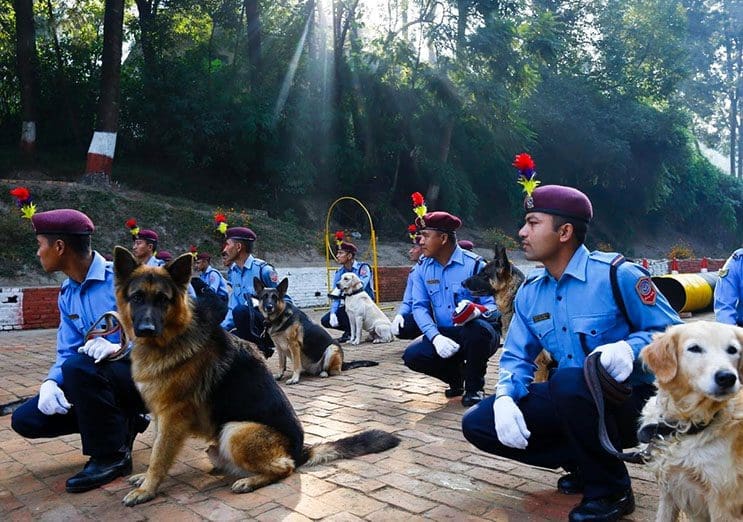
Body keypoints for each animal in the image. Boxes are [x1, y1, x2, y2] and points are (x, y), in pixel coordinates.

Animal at [112, 247, 402, 504]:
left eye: (163, 299)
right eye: (137, 298)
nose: (146, 329)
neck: (172, 339)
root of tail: (300, 451)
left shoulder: (172, 416)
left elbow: (159, 456)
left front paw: (146, 489)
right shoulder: (161, 415)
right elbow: (157, 450)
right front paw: (145, 480)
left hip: (235, 430)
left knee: (285, 467)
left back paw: (249, 481)